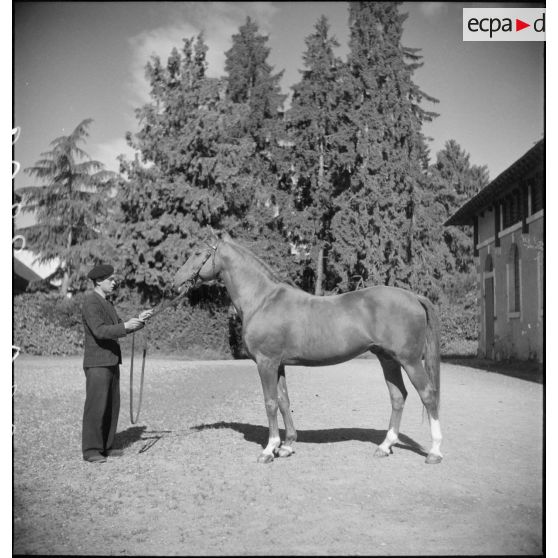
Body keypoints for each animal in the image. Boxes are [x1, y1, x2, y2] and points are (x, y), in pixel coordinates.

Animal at [173, 230, 443, 465]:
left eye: (197, 252)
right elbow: (284, 401)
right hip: (388, 359)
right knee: (398, 397)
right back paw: (385, 447)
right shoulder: (278, 364)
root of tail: (413, 297)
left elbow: (270, 402)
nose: (175, 281)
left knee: (428, 395)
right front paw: (287, 445)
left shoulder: (266, 362)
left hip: (409, 361)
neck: (262, 300)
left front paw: (269, 450)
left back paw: (435, 452)